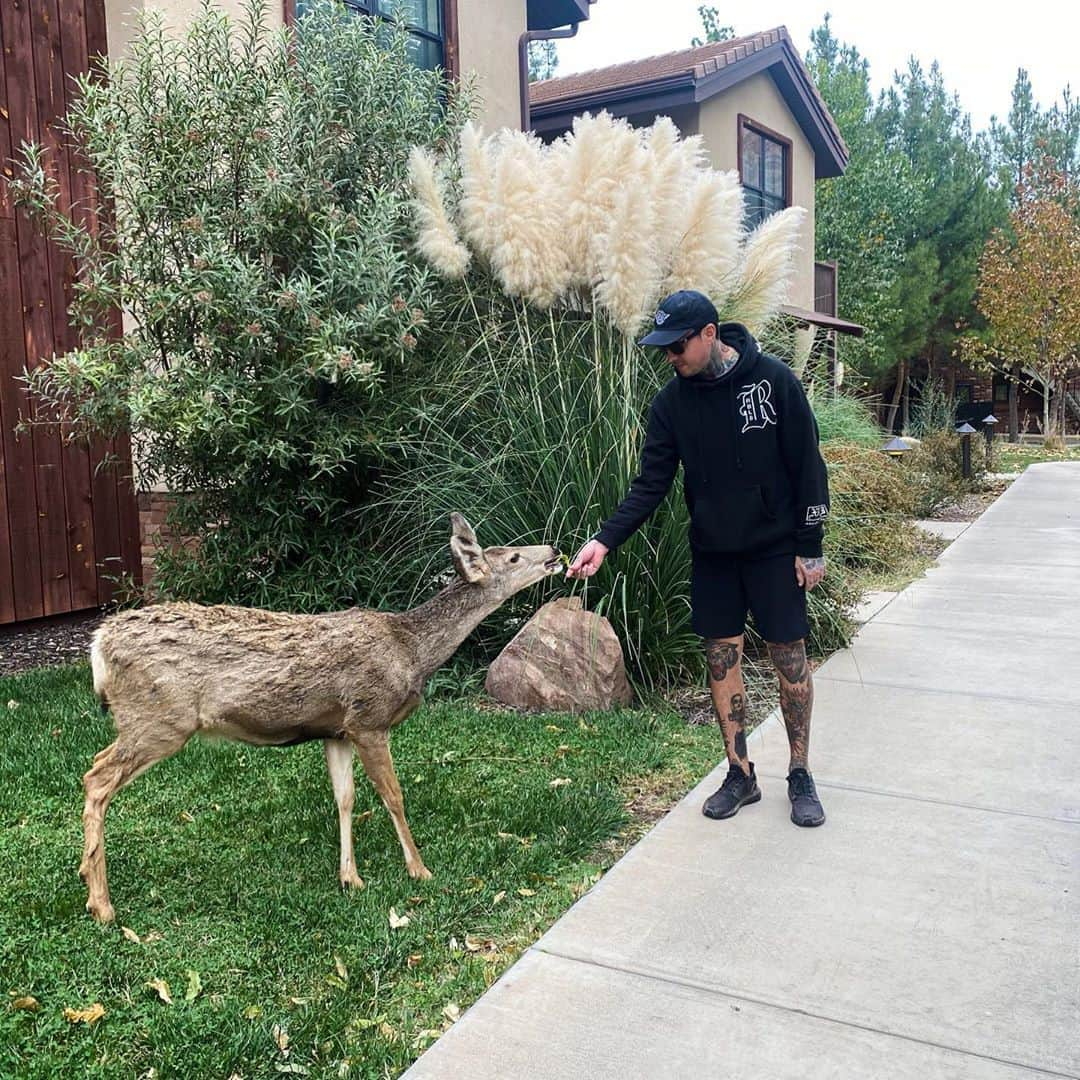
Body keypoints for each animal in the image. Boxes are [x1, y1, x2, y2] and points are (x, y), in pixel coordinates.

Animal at [79, 514, 561, 920]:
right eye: (514, 557)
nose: (554, 550)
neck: (411, 652)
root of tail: (98, 645)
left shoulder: (338, 730)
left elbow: (344, 797)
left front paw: (351, 877)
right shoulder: (369, 718)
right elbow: (393, 796)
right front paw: (419, 869)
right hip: (160, 719)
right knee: (96, 777)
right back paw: (101, 903)